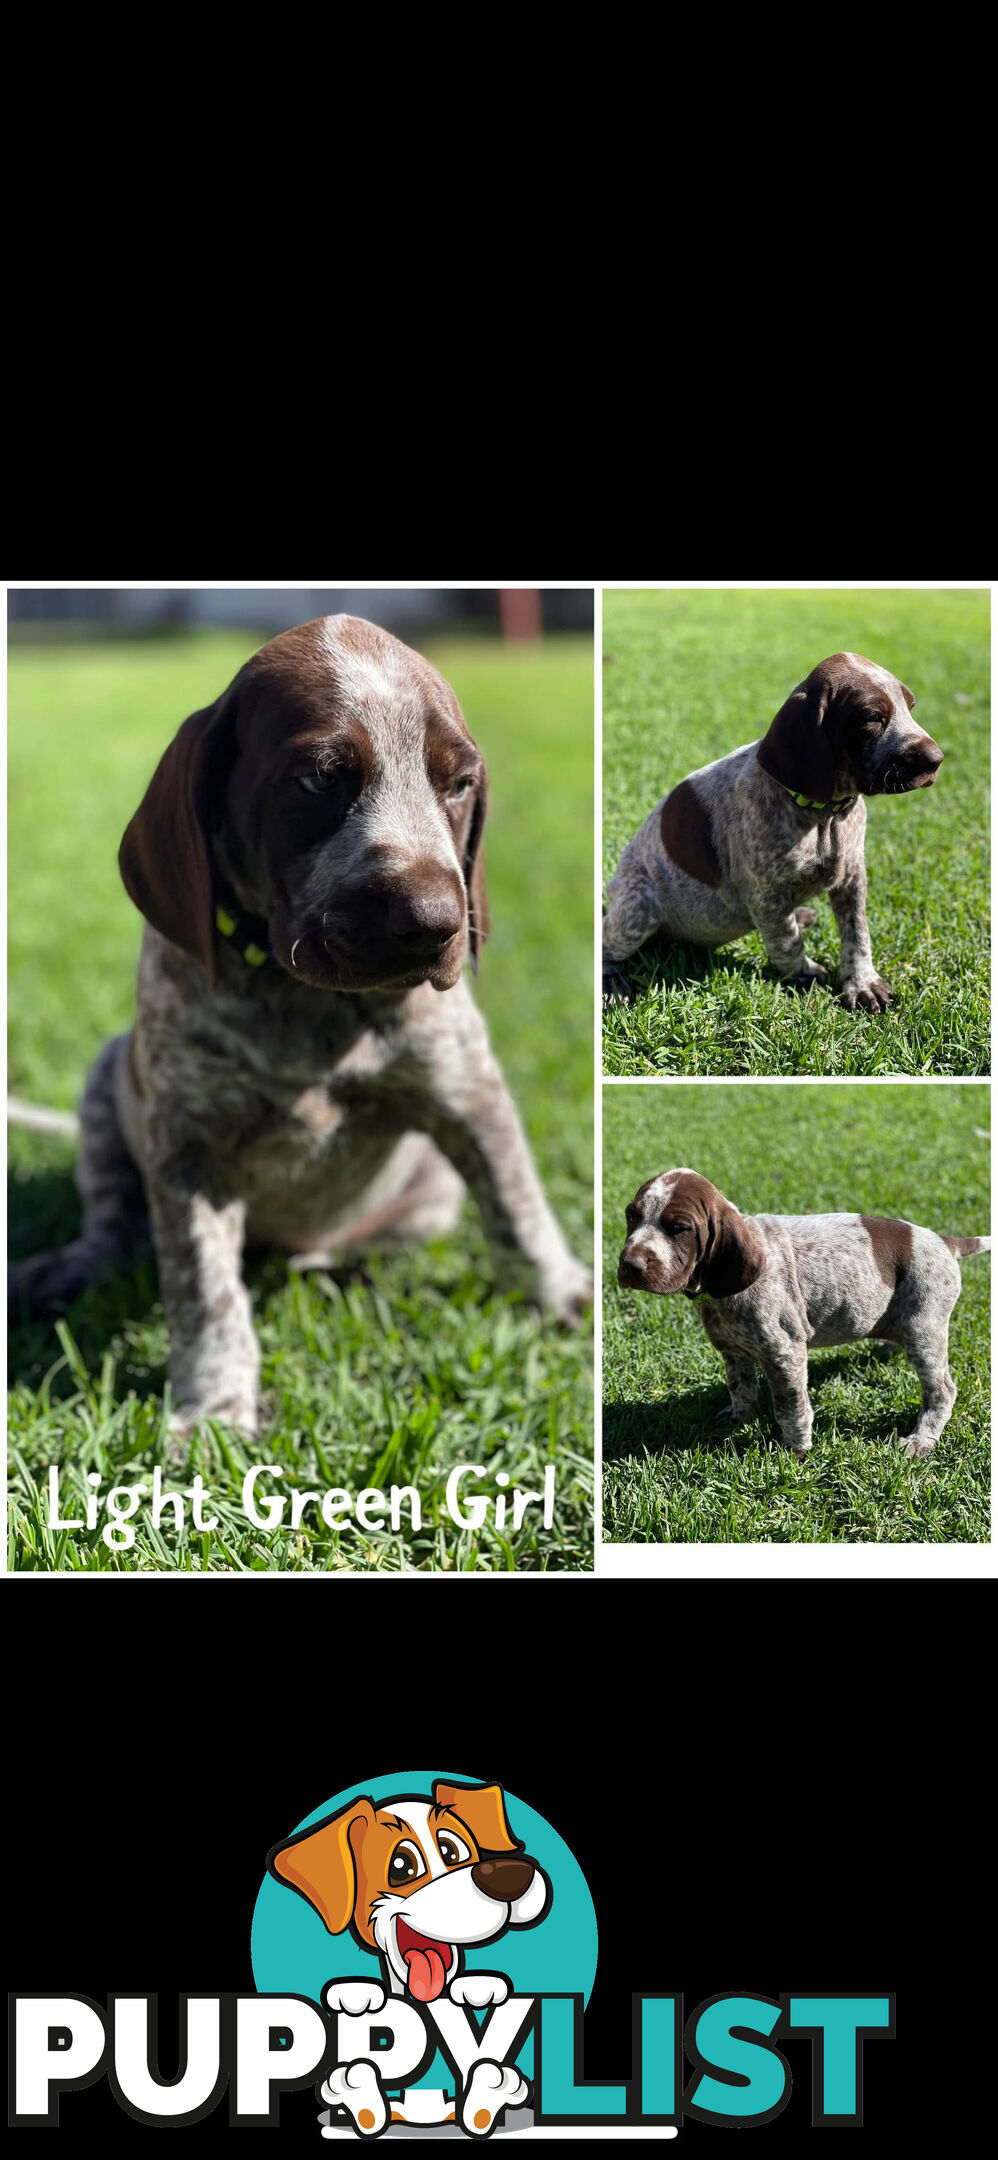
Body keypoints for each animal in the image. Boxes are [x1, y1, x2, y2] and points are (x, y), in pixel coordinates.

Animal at [9, 617, 591, 1442]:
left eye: (458, 784)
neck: (310, 1005)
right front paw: (214, 1406)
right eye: (319, 779)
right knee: (116, 1225)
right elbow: (205, 1291)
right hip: (107, 1079)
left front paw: (561, 1293)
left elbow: (517, 1206)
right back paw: (67, 1268)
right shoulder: (189, 1149)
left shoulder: (468, 1093)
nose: (435, 924)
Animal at [600, 643, 941, 1006]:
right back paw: (610, 981)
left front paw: (862, 982)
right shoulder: (766, 894)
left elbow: (857, 933)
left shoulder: (852, 875)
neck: (825, 815)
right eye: (872, 717)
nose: (936, 760)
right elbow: (787, 940)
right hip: (641, 904)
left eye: (911, 707)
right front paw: (803, 974)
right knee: (608, 942)